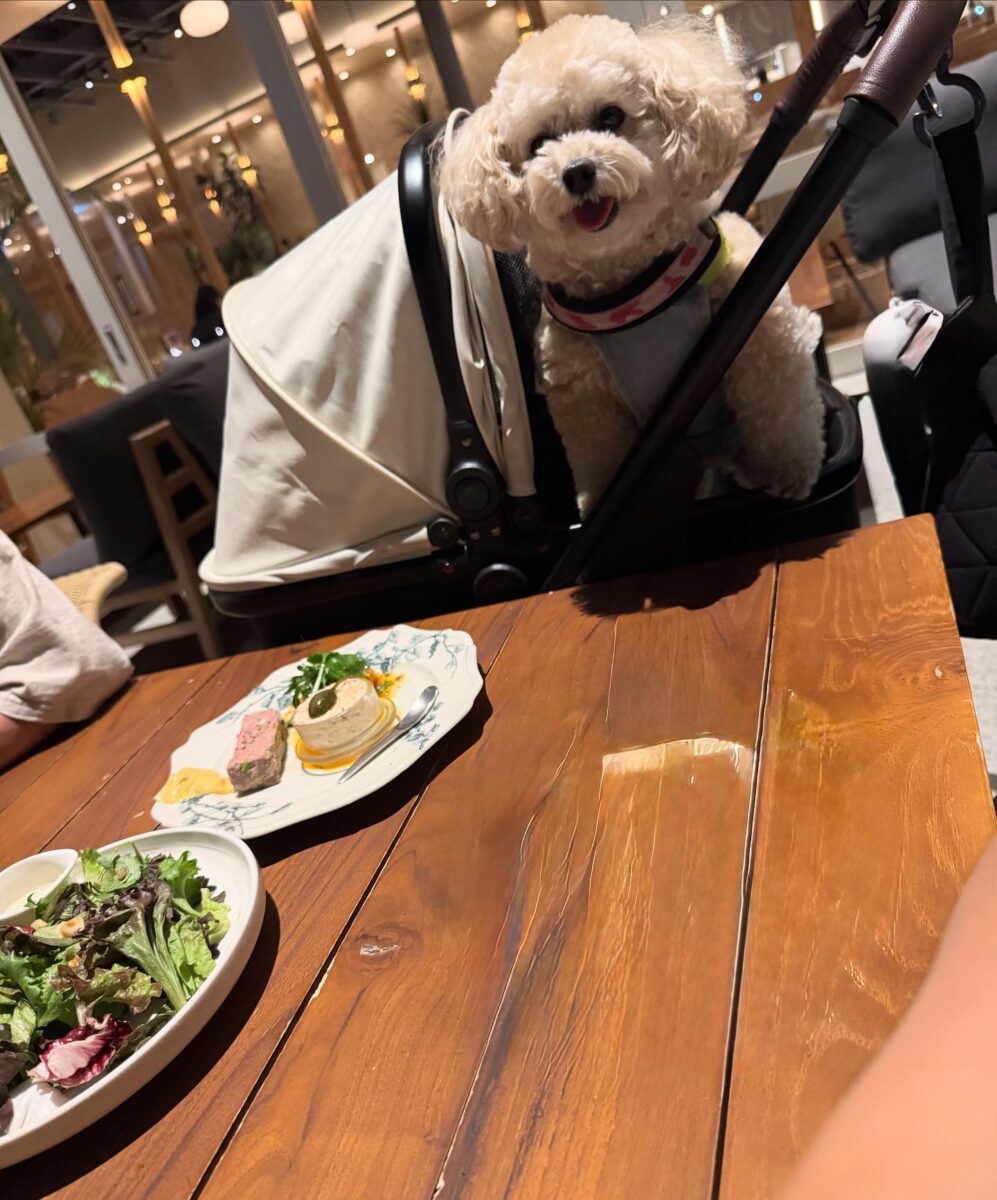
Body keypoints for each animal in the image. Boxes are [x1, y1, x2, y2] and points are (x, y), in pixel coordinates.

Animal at [439, 14, 824, 514]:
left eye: (610, 116)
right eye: (540, 141)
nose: (577, 171)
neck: (629, 291)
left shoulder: (763, 341)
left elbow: (778, 414)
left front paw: (785, 473)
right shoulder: (585, 403)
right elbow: (601, 459)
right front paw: (599, 504)